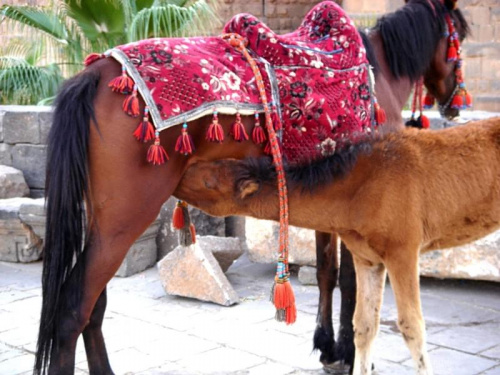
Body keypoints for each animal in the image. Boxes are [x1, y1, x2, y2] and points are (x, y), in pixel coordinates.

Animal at [171, 117, 500, 375]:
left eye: (210, 181)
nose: (177, 179)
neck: (360, 188)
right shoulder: (369, 259)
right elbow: (364, 326)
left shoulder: (403, 251)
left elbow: (412, 327)